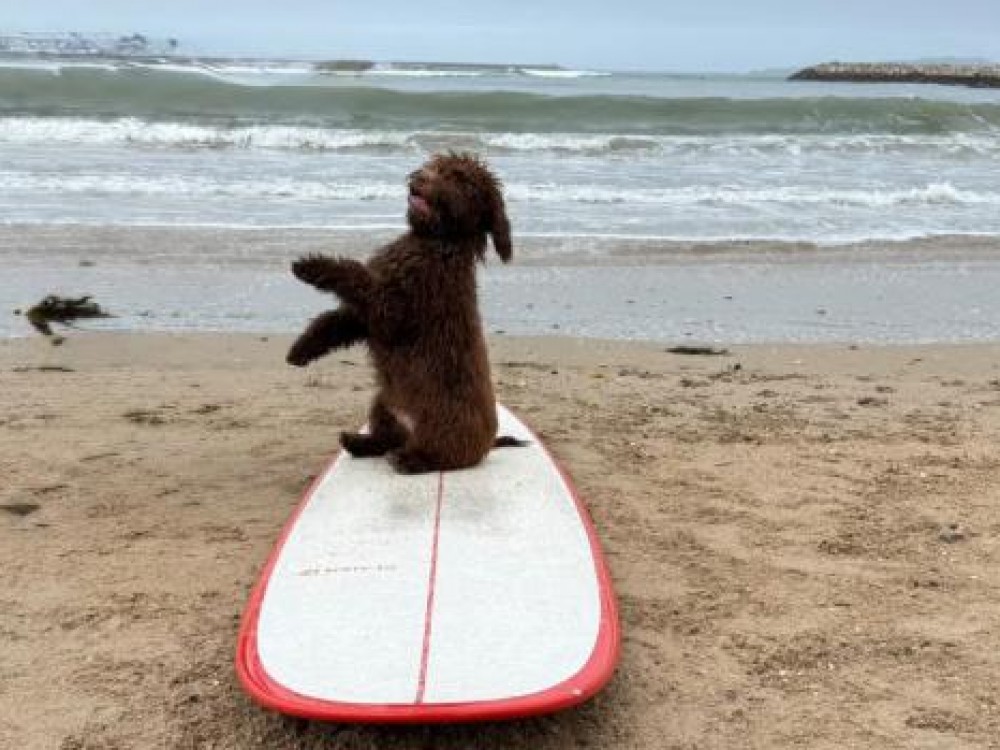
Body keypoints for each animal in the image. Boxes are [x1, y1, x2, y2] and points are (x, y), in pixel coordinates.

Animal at [287, 152, 520, 473]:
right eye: (435, 164)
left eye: (460, 178)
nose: (418, 176)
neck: (435, 244)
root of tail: (486, 446)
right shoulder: (365, 318)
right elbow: (331, 323)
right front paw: (300, 350)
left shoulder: (391, 312)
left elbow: (356, 274)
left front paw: (311, 266)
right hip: (383, 401)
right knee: (387, 438)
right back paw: (358, 442)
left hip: (444, 429)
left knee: (433, 456)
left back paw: (408, 459)